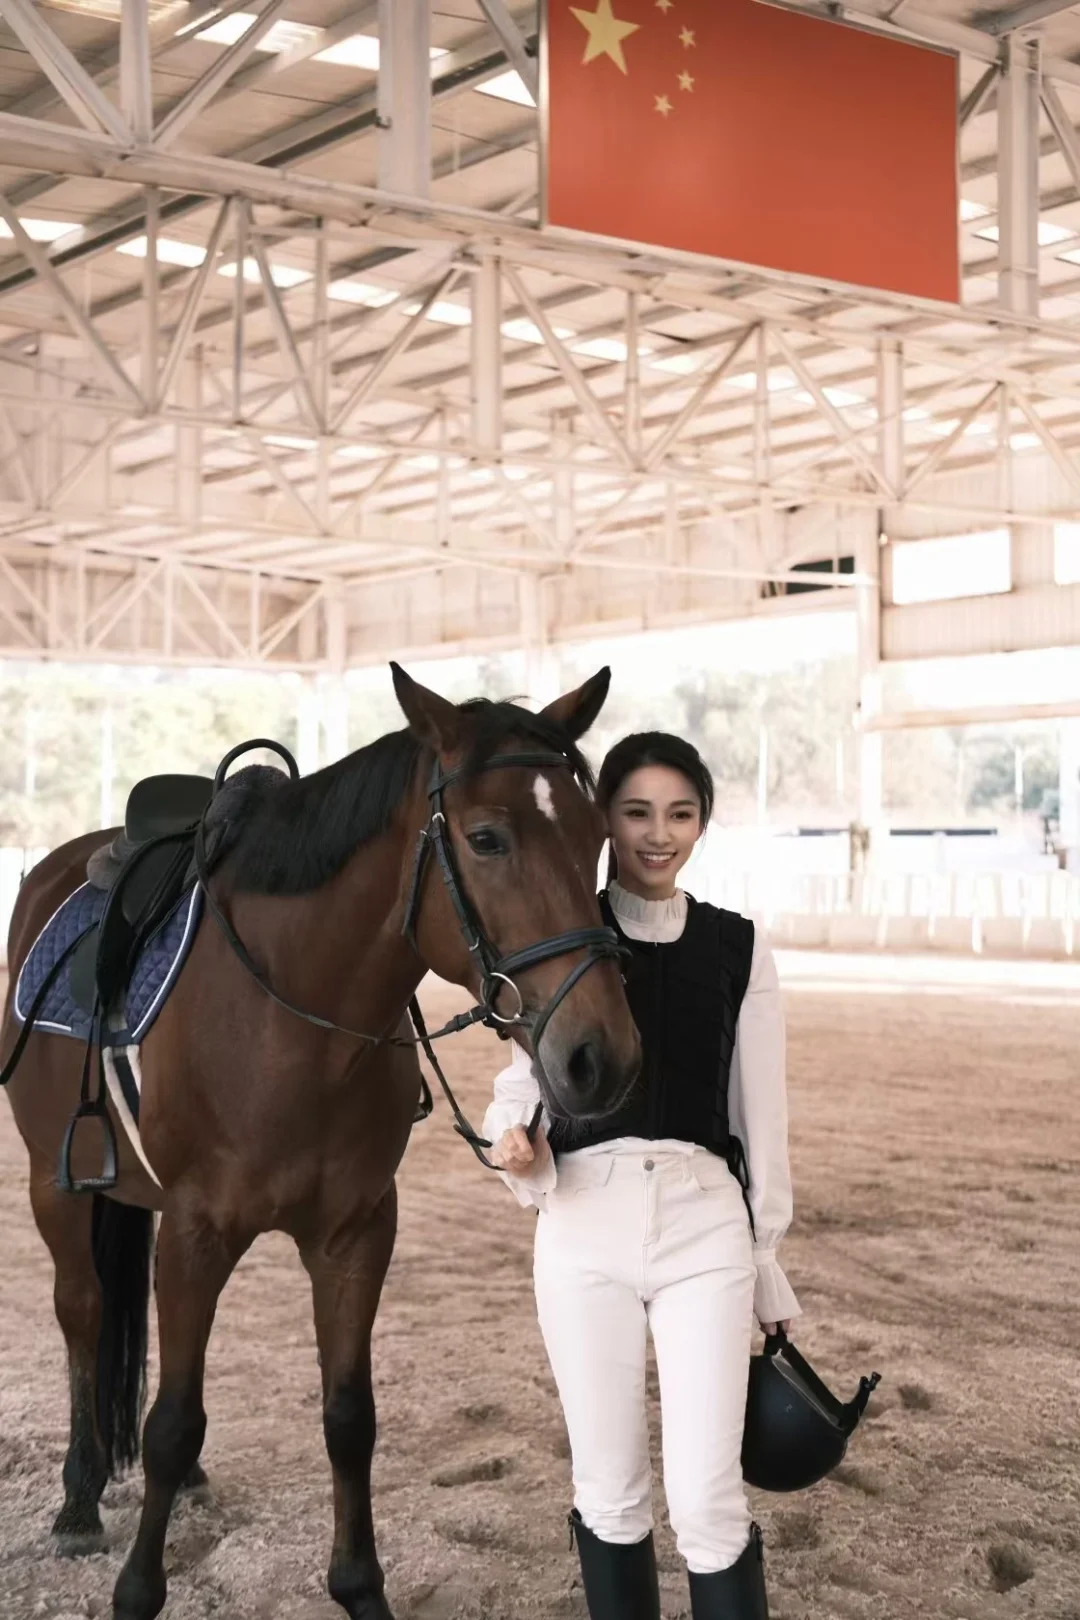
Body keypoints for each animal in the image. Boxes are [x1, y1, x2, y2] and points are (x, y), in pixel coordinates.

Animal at [0, 660, 637, 1620]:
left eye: (599, 834)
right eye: (487, 839)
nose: (601, 1057)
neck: (294, 1018)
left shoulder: (356, 1233)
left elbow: (348, 1417)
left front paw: (359, 1585)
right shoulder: (194, 1233)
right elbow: (169, 1419)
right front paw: (139, 1588)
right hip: (55, 1183)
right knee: (83, 1313)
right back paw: (79, 1499)